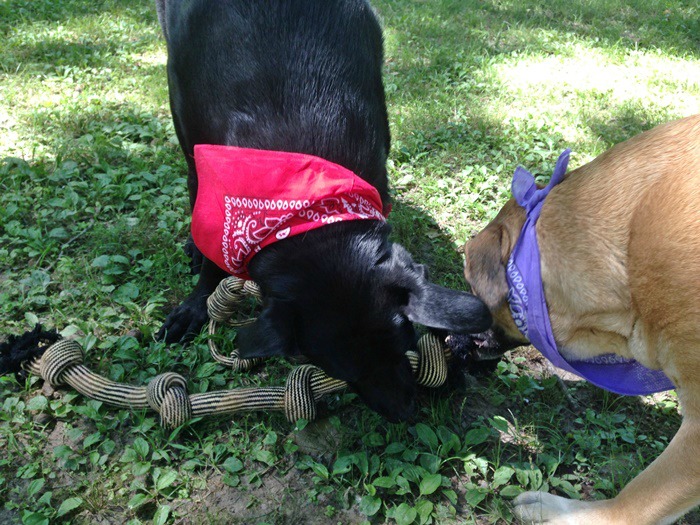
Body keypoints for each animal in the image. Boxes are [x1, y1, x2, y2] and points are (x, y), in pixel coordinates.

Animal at [155, 0, 490, 420]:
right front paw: (196, 302)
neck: (306, 208)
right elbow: (213, 255)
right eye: (342, 373)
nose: (405, 414)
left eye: (404, 346)